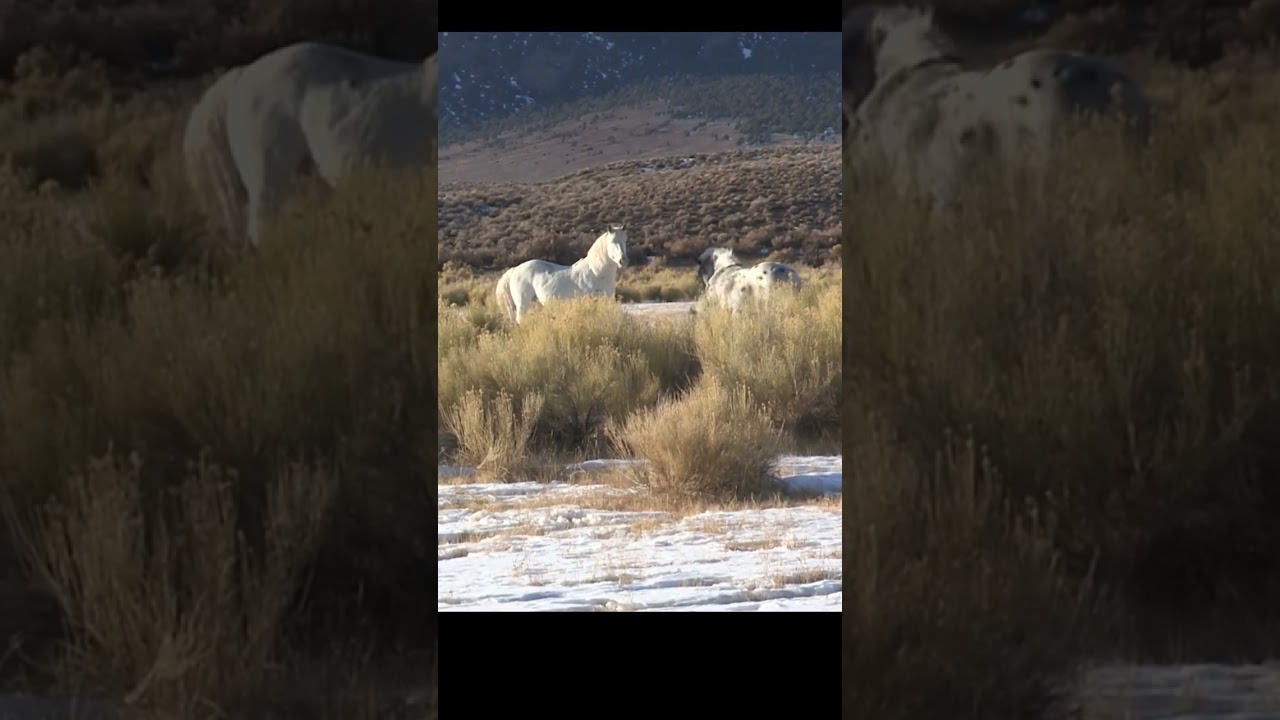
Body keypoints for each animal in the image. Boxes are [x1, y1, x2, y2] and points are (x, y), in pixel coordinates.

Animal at [494, 225, 630, 325]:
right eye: (612, 242)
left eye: (625, 241)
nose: (623, 261)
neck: (596, 273)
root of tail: (515, 269)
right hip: (523, 304)